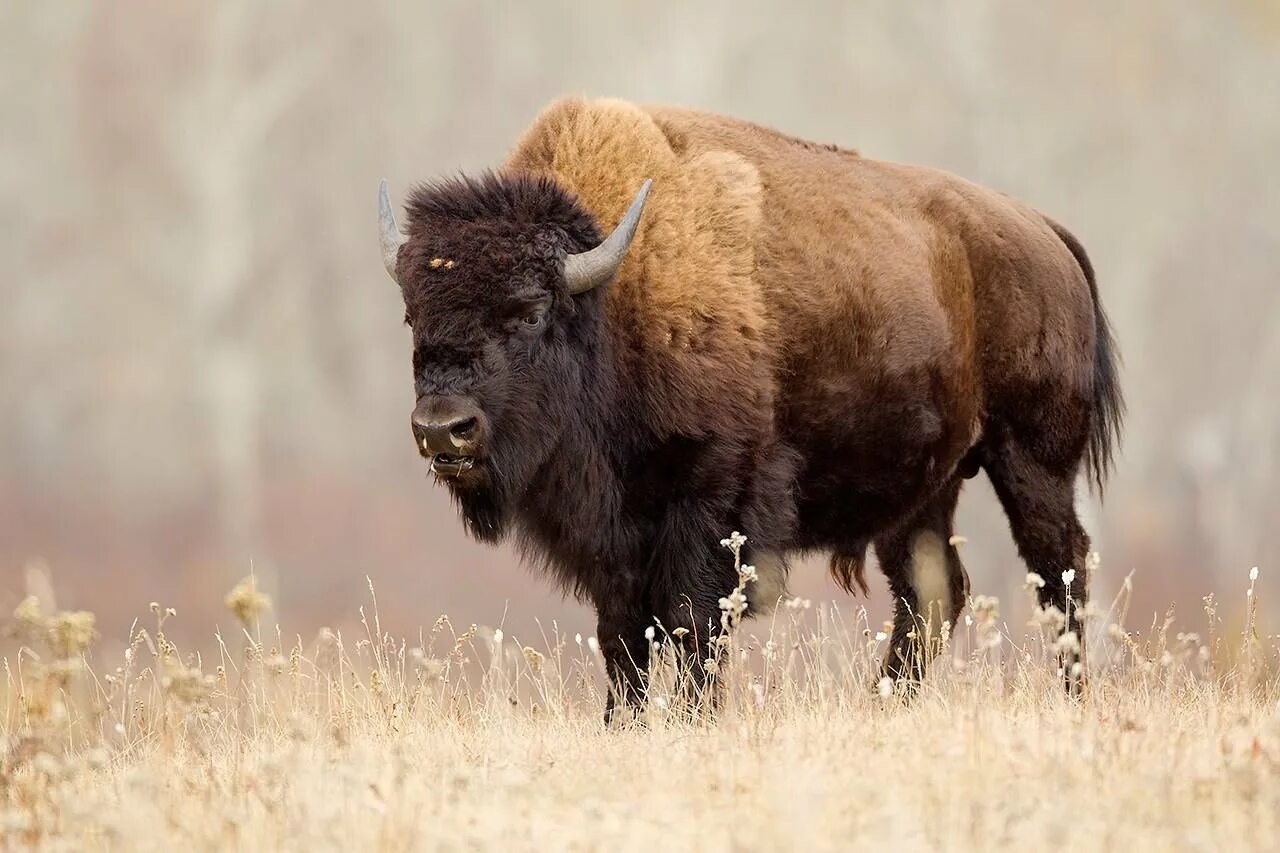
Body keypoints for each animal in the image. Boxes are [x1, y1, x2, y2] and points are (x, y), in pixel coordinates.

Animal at [376, 96, 1121, 712]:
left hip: (1031, 460)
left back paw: (1072, 700)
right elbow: (624, 639)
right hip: (924, 487)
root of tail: (1044, 233)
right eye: (413, 315)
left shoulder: (711, 504)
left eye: (530, 311)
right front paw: (625, 723)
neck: (612, 299)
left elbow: (691, 625)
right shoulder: (615, 541)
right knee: (934, 593)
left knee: (1060, 571)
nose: (443, 430)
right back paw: (882, 705)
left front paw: (693, 719)